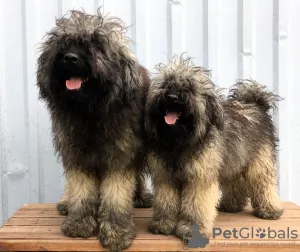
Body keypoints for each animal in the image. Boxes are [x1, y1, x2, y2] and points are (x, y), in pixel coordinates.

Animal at [36, 8, 151, 251]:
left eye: (97, 44)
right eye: (64, 43)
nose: (71, 58)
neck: (91, 111)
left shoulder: (120, 156)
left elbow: (116, 196)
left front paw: (116, 231)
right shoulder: (77, 155)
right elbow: (81, 190)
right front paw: (79, 222)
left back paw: (140, 196)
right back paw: (65, 202)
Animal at [146, 56, 284, 240]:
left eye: (189, 87)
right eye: (166, 84)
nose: (172, 97)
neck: (180, 141)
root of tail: (256, 104)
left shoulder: (199, 179)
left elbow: (196, 205)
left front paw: (191, 229)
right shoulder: (166, 178)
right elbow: (165, 202)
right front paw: (163, 223)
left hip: (259, 163)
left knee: (264, 185)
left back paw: (270, 209)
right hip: (234, 161)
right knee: (236, 183)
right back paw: (232, 205)